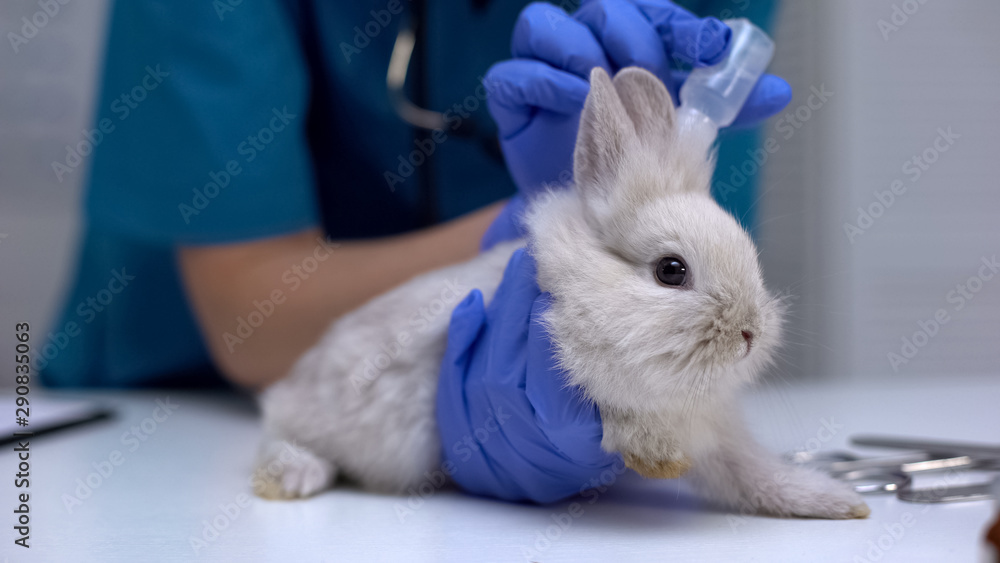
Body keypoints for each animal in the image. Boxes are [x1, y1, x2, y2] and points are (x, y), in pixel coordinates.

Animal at [253, 66, 869, 520]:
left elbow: (751, 474)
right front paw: (655, 458)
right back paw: (293, 476)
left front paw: (837, 503)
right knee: (278, 430)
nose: (748, 333)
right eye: (671, 271)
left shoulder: (716, 432)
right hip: (313, 416)